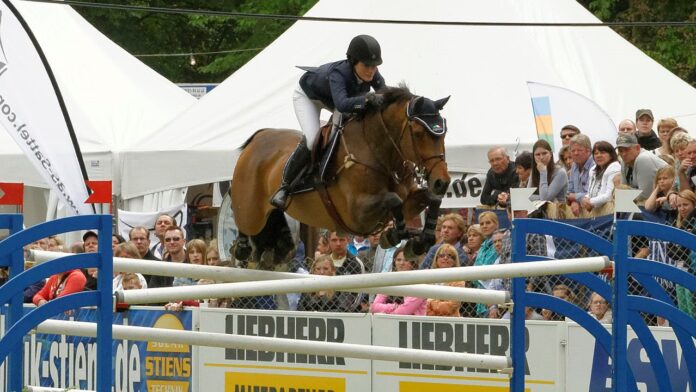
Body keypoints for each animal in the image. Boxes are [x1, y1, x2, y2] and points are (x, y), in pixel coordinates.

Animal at [228, 86, 452, 266]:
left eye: (444, 132)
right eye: (418, 134)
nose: (442, 182)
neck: (379, 154)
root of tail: (259, 137)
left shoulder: (407, 202)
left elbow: (431, 199)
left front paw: (420, 241)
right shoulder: (357, 215)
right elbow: (393, 199)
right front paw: (394, 234)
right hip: (251, 213)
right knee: (240, 215)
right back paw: (241, 247)